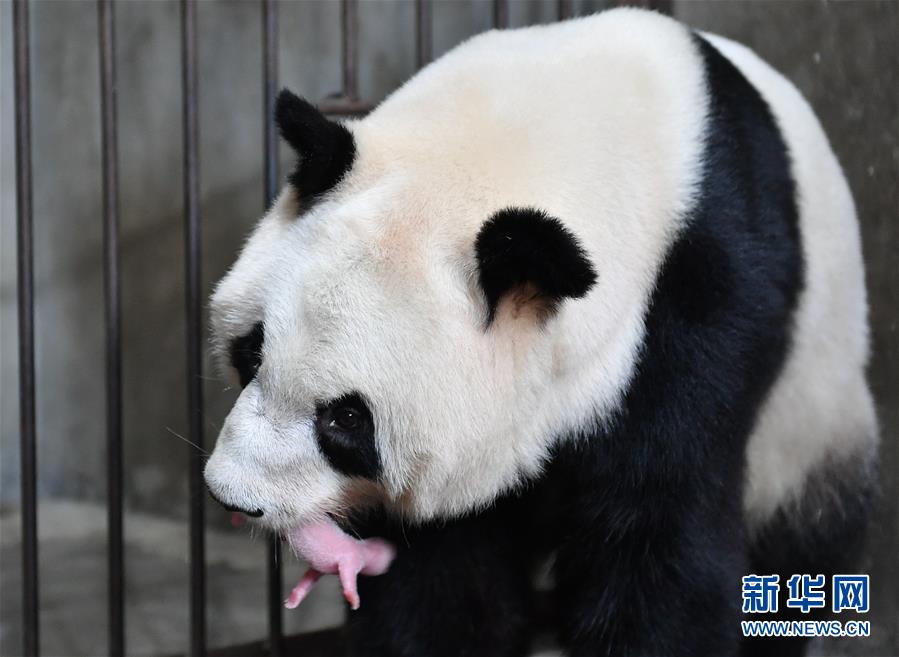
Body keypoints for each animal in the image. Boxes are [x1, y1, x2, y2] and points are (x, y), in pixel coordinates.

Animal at [206, 9, 880, 656]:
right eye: (251, 352)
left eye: (345, 420)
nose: (234, 496)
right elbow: (444, 565)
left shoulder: (697, 303)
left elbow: (659, 524)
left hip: (814, 416)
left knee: (804, 545)